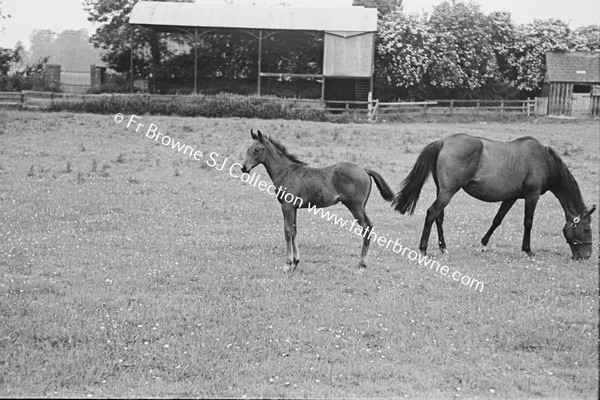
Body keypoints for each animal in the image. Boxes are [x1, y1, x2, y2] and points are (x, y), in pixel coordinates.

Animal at [241, 130, 396, 272]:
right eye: (248, 149)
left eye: (256, 150)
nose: (244, 168)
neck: (286, 172)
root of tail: (364, 169)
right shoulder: (294, 208)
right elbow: (294, 231)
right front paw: (295, 262)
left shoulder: (287, 206)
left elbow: (288, 231)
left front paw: (287, 264)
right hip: (361, 206)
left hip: (355, 206)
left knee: (367, 227)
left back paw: (361, 265)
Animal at [392, 133, 592, 260]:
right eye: (588, 229)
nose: (586, 256)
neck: (543, 161)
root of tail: (443, 142)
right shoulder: (532, 195)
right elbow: (528, 222)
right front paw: (528, 250)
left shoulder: (511, 197)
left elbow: (498, 219)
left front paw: (483, 244)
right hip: (448, 192)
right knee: (432, 213)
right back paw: (423, 249)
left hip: (442, 191)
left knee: (439, 217)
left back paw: (443, 247)